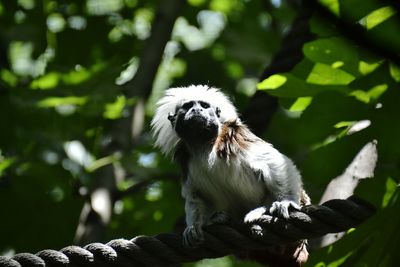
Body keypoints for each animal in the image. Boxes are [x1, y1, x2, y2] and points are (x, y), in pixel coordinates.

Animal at [152, 85, 310, 266]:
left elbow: (273, 160)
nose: (197, 110)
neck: (203, 144)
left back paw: (262, 211)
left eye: (204, 106)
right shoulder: (186, 159)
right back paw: (219, 219)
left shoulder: (234, 135)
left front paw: (286, 202)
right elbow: (195, 195)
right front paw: (194, 227)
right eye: (188, 106)